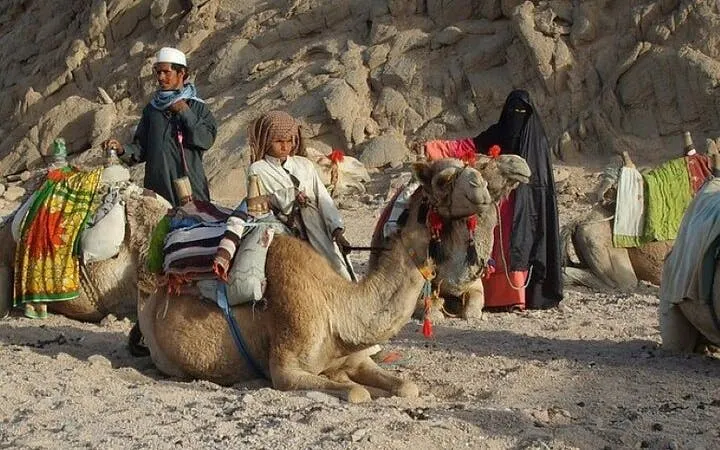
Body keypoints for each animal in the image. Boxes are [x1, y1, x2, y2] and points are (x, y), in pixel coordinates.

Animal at [137, 158, 494, 402]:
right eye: (444, 179)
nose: (483, 186)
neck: (338, 309)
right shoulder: (286, 370)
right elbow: (356, 392)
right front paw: (356, 387)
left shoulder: (356, 357)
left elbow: (407, 386)